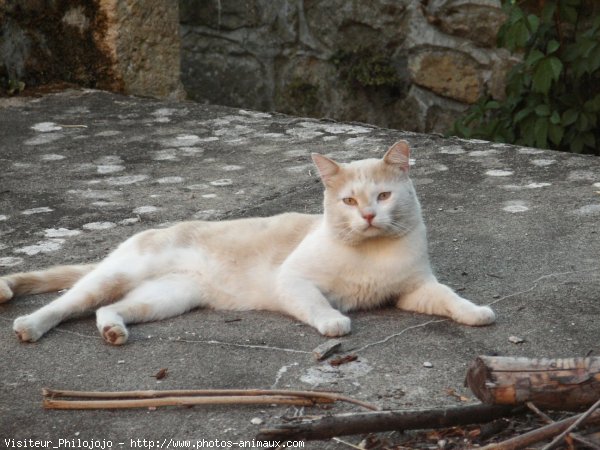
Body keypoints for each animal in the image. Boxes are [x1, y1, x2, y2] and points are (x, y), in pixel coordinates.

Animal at [0, 141, 496, 344]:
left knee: (106, 310)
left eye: (384, 196)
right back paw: (30, 327)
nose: (370, 216)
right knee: (68, 303)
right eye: (350, 201)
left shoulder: (415, 289)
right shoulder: (294, 282)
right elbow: (319, 306)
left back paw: (113, 332)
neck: (371, 255)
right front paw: (335, 323)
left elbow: (449, 298)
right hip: (117, 276)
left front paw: (476, 313)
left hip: (166, 299)